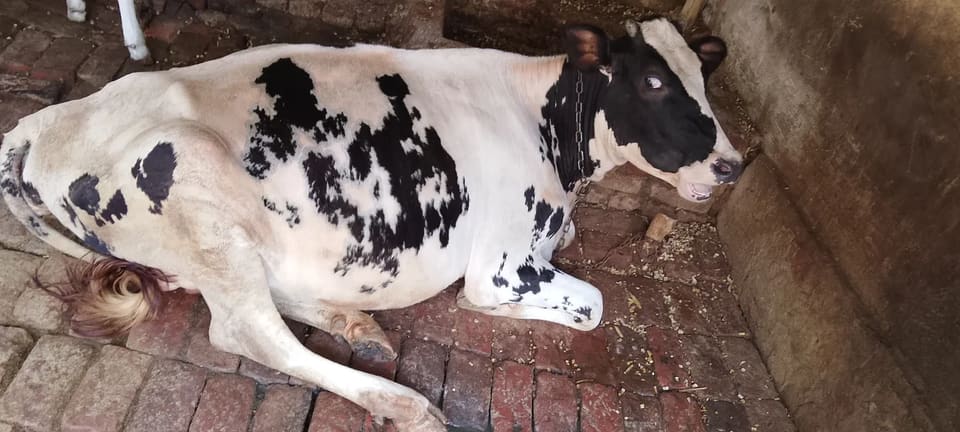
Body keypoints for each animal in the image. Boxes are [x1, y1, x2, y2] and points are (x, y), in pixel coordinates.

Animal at [0, 18, 741, 430]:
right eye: (652, 83)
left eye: (703, 78)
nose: (732, 165)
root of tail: (46, 122)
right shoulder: (501, 267)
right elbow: (591, 305)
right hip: (199, 193)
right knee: (247, 330)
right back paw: (402, 403)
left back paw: (357, 325)